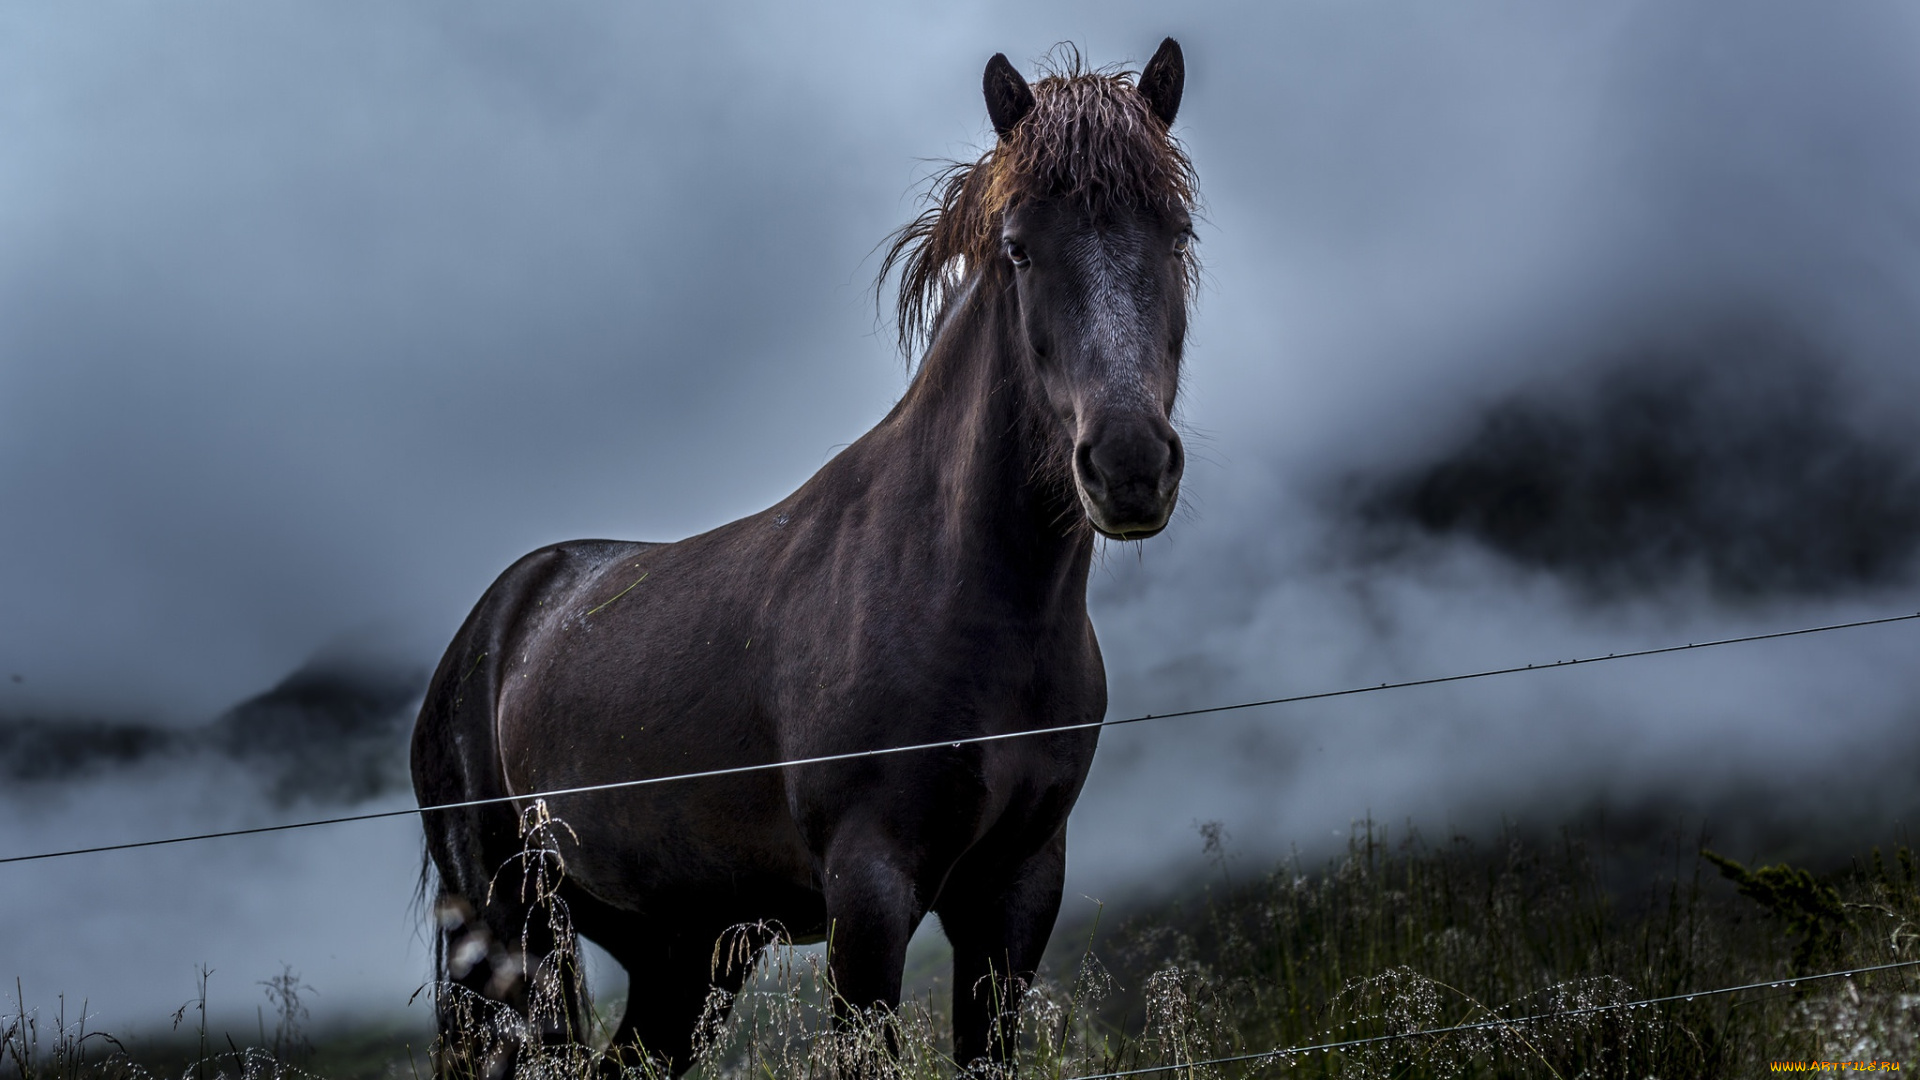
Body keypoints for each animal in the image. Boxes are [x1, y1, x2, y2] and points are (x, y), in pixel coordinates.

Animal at [412, 39, 1198, 1068]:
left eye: (1177, 234)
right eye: (1020, 247)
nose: (1131, 464)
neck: (970, 601)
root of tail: (492, 626)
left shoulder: (1017, 893)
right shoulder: (869, 893)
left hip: (685, 950)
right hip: (508, 934)